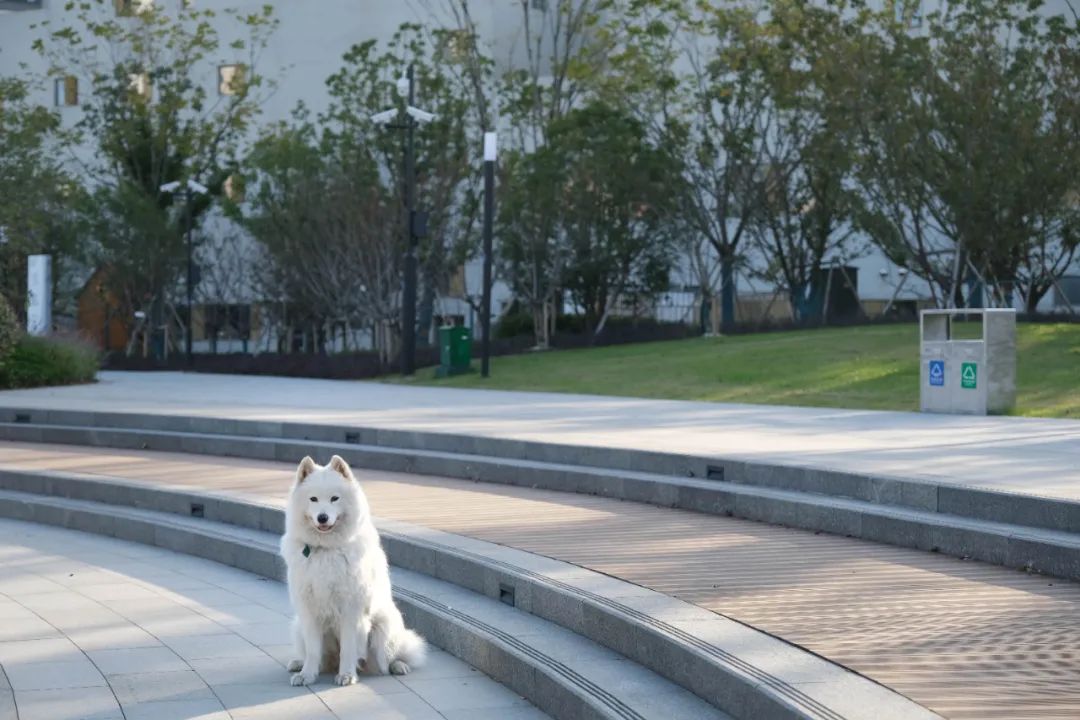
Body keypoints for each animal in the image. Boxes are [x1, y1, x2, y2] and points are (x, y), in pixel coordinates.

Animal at [278, 455, 425, 686]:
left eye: (334, 499)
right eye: (313, 499)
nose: (322, 517)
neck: (327, 549)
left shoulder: (351, 609)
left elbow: (348, 648)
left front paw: (346, 675)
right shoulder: (308, 610)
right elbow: (312, 650)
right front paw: (307, 675)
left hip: (384, 627)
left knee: (390, 658)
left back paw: (398, 666)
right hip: (298, 626)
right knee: (321, 657)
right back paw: (298, 663)